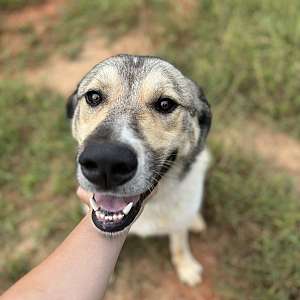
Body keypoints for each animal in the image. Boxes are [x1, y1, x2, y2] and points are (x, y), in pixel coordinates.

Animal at [66, 54, 211, 286]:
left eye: (165, 104)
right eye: (93, 96)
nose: (106, 161)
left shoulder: (179, 223)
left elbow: (179, 243)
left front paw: (186, 266)